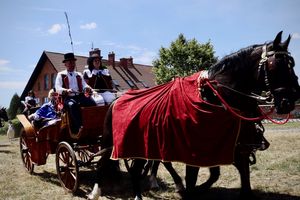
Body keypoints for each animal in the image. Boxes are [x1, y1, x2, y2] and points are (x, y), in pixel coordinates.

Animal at [96, 31, 300, 200]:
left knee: (136, 168)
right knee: (104, 163)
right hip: (118, 143)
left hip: (141, 145)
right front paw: (190, 190)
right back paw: (97, 192)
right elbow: (195, 179)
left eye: (292, 64)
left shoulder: (227, 148)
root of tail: (117, 99)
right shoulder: (194, 151)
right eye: (277, 65)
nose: (290, 100)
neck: (213, 97)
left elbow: (233, 176)